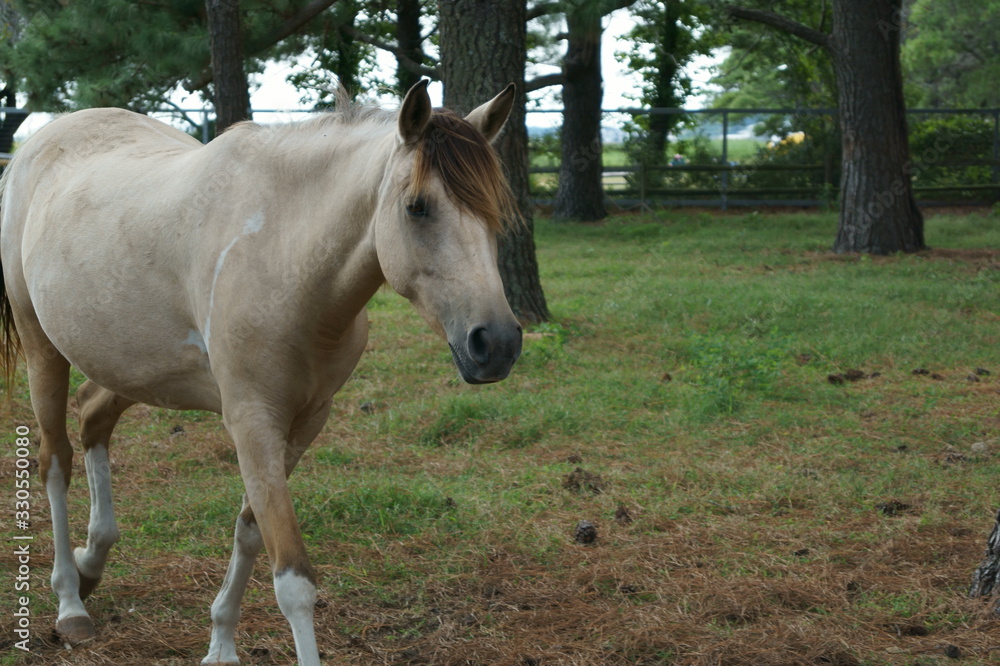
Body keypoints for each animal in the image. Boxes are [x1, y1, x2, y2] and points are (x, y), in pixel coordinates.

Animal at [0, 80, 522, 665]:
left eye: (495, 211)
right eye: (417, 207)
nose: (497, 343)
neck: (282, 254)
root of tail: (35, 147)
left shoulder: (303, 422)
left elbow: (250, 530)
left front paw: (221, 642)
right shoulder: (252, 422)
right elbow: (292, 579)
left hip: (135, 367)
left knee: (93, 416)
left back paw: (92, 563)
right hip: (43, 348)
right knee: (54, 461)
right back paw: (70, 601)